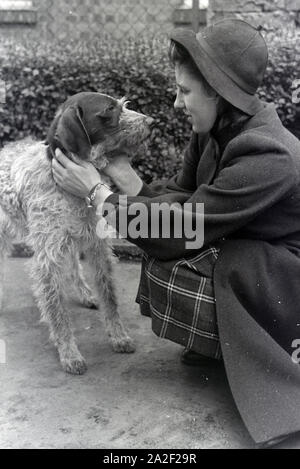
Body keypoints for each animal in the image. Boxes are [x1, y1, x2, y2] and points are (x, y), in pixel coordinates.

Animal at [0, 91, 154, 374]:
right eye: (109, 110)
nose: (152, 122)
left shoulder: (97, 245)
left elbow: (109, 296)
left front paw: (119, 336)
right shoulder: (48, 257)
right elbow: (57, 311)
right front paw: (69, 353)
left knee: (73, 263)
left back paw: (85, 294)